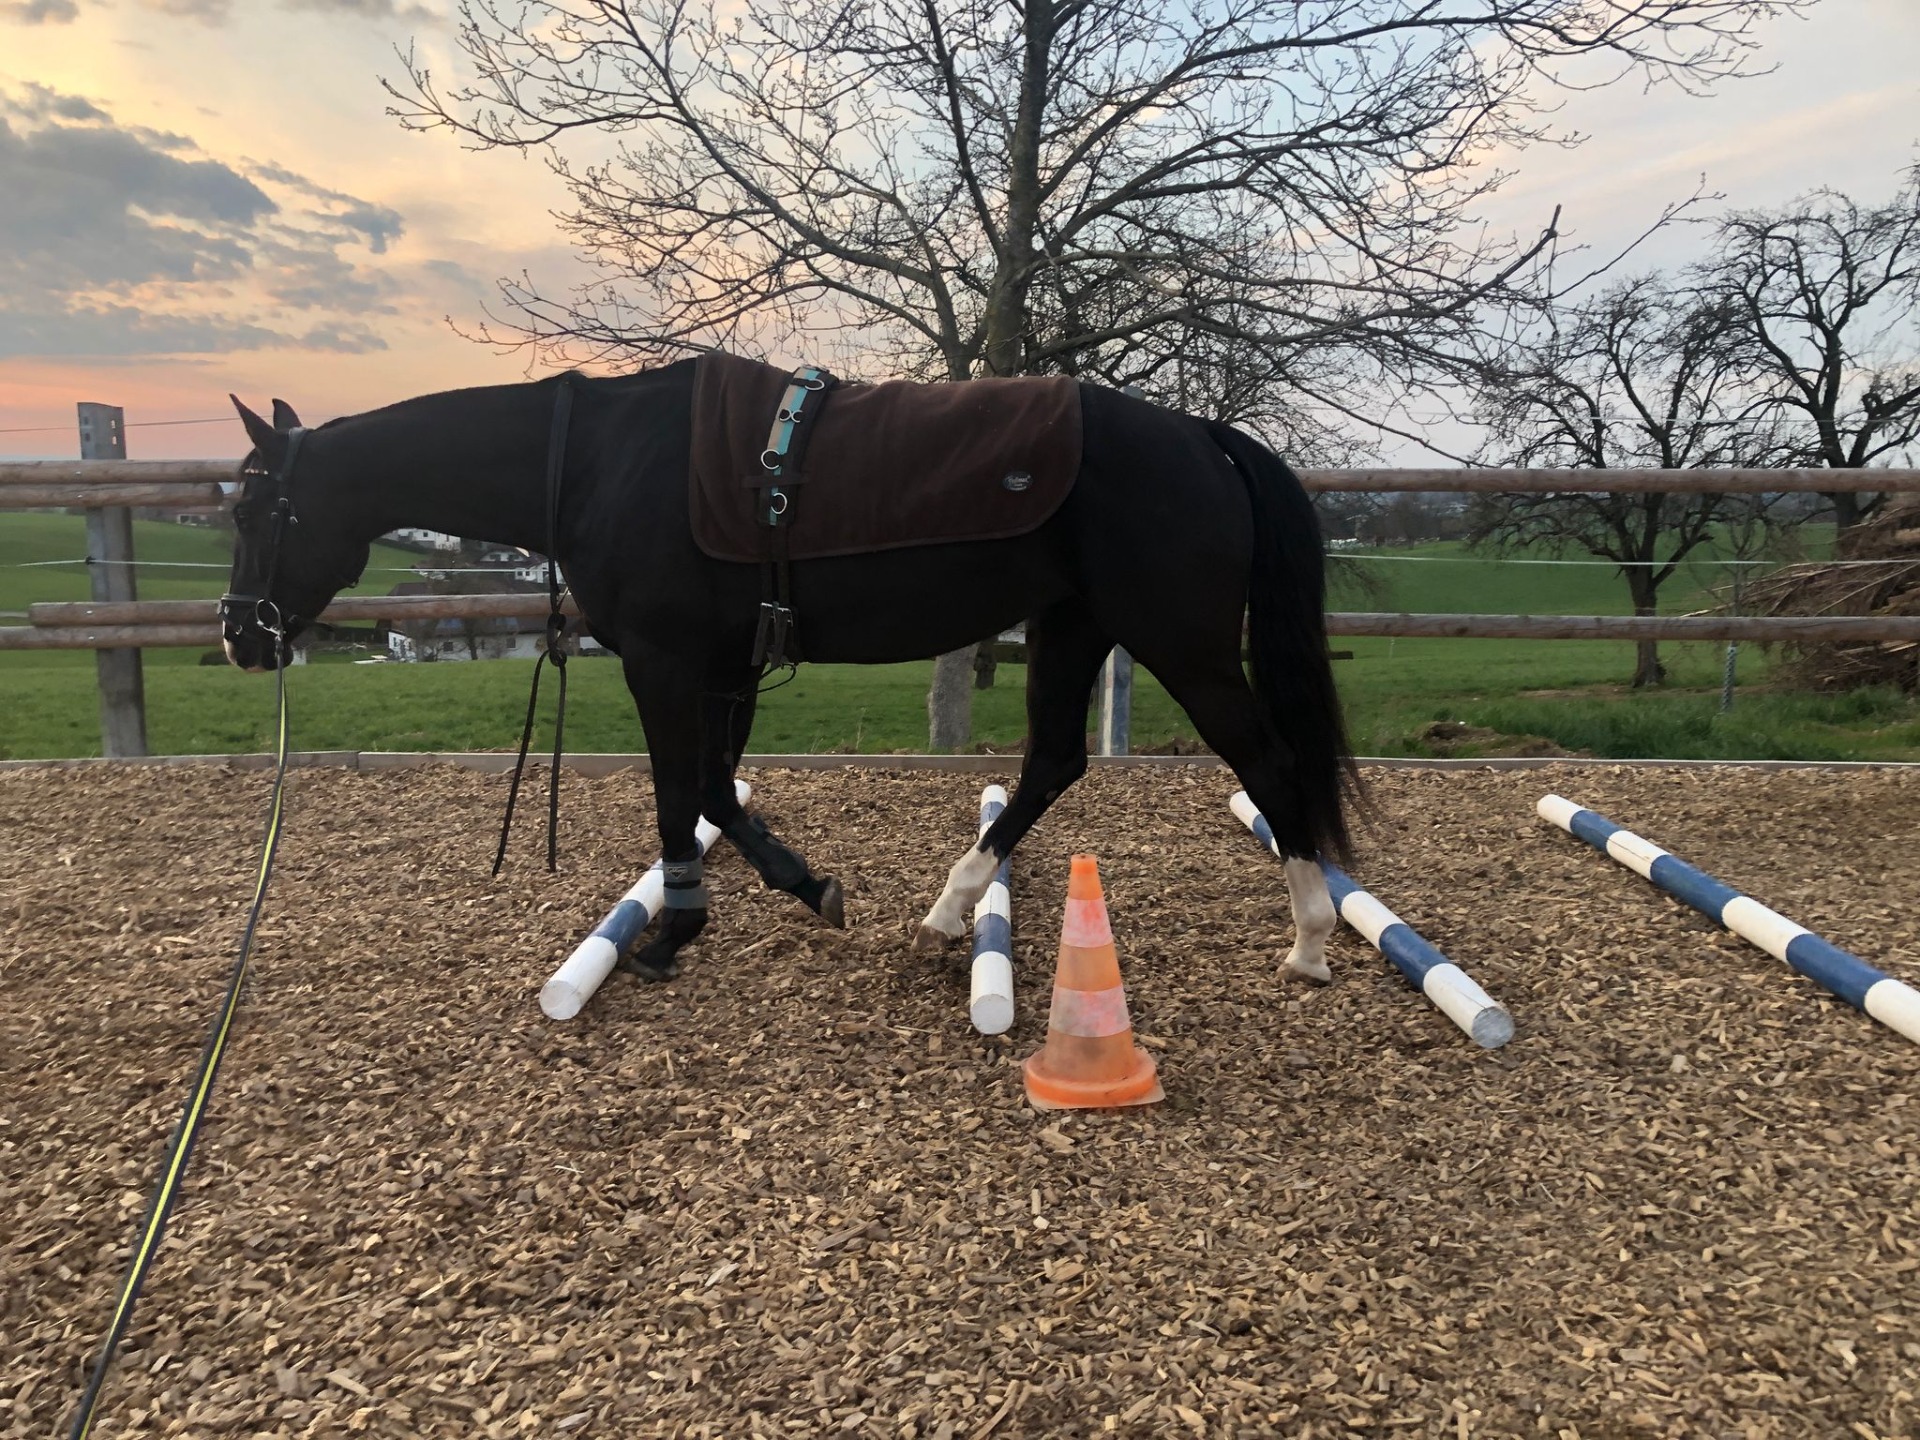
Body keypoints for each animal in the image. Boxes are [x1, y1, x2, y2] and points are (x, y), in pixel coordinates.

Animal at [224, 366, 1359, 990]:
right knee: (1052, 763)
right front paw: (805, 887)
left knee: (1267, 763)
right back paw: (949, 910)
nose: (242, 638)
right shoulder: (724, 667)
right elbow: (717, 793)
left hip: (1182, 644)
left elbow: (682, 795)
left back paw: (1309, 942)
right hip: (1072, 627)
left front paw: (676, 931)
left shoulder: (663, 663)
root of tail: (1201, 437)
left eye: (256, 507)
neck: (602, 460)